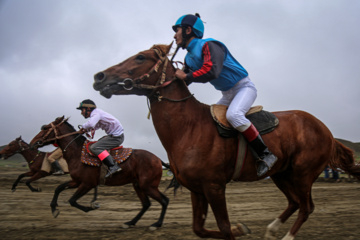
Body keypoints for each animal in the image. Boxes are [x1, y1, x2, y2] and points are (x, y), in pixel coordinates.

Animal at [30, 117, 169, 230]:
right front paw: (54, 208)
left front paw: (90, 207)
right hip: (138, 185)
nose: (33, 143)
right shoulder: (76, 181)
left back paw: (156, 224)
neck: (77, 153)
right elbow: (58, 189)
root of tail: (158, 159)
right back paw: (130, 222)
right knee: (146, 204)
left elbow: (72, 200)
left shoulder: (88, 184)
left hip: (147, 186)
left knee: (164, 200)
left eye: (45, 128)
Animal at [91, 43, 360, 240]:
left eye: (140, 57)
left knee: (306, 207)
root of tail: (325, 130)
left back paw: (286, 236)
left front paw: (237, 229)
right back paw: (272, 229)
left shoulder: (214, 186)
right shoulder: (197, 188)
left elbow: (224, 227)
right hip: (281, 174)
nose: (99, 76)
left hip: (303, 174)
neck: (189, 128)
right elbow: (200, 229)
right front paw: (242, 228)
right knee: (294, 203)